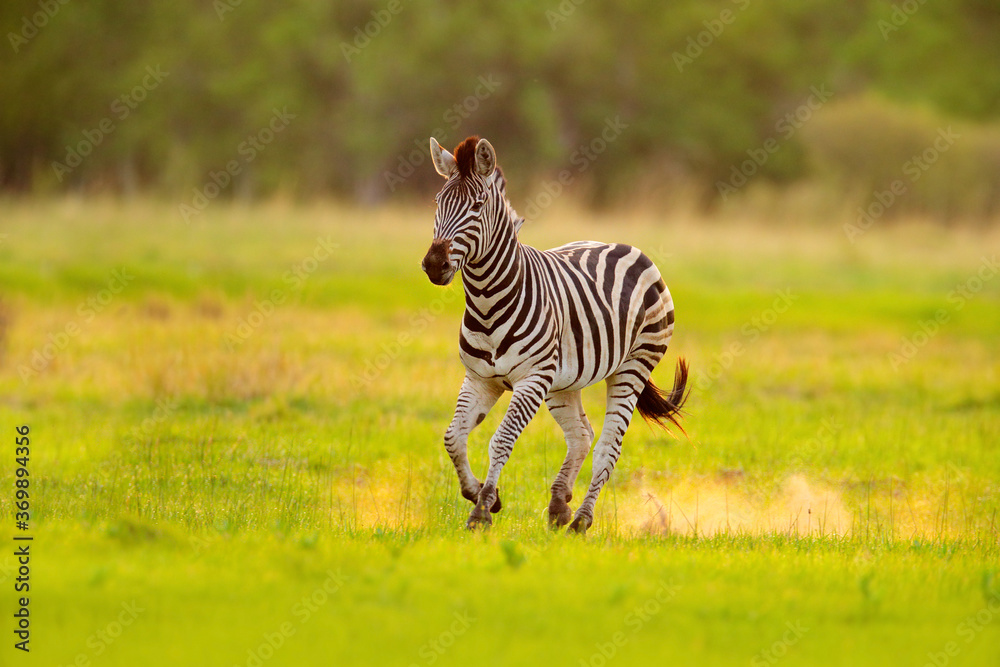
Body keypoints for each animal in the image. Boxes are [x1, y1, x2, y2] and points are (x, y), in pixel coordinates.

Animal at [420, 133, 688, 536]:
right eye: (438, 202)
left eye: (478, 205)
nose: (434, 264)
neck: (487, 301)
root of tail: (627, 246)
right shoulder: (480, 379)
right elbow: (453, 437)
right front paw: (480, 493)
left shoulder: (531, 379)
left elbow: (500, 441)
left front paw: (482, 510)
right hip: (564, 380)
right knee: (582, 434)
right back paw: (560, 507)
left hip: (633, 365)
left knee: (607, 446)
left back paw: (581, 520)